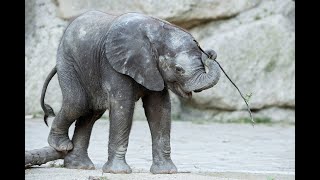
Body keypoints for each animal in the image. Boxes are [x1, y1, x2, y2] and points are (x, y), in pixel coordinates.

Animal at [40, 10, 220, 174]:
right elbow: (123, 106)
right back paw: (62, 145)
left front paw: (166, 172)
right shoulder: (113, 63)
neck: (158, 32)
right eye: (178, 69)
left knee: (91, 112)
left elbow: (159, 109)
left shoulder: (153, 69)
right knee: (77, 103)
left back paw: (80, 166)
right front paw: (118, 172)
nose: (210, 53)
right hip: (67, 61)